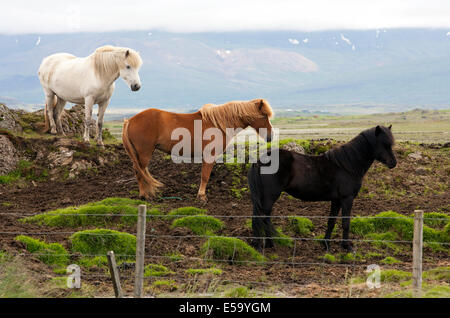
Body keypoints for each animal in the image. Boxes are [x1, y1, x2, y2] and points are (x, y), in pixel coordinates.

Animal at [122, 98, 274, 200]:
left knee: (141, 172)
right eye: (264, 115)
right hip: (144, 153)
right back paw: (144, 195)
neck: (218, 124)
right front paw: (201, 196)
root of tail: (130, 120)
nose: (270, 136)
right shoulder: (209, 155)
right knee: (139, 171)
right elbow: (205, 176)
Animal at [248, 124, 396, 251]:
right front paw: (347, 247)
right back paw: (261, 245)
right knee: (261, 218)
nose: (393, 163)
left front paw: (326, 244)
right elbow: (345, 223)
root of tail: (260, 160)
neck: (347, 165)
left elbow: (331, 221)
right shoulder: (347, 199)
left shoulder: (336, 200)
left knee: (264, 218)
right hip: (270, 196)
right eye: (384, 144)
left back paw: (269, 244)